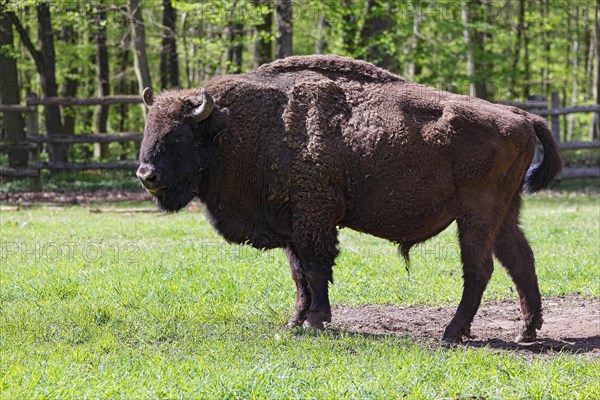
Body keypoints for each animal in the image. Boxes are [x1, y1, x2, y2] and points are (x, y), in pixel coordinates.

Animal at [137, 54, 564, 344]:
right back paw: (526, 332)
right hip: (505, 213)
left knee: (479, 269)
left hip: (476, 214)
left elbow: (315, 268)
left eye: (178, 134)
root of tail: (521, 116)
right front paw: (294, 322)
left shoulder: (314, 217)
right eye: (148, 128)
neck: (233, 127)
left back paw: (452, 333)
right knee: (520, 261)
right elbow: (299, 274)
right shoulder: (290, 223)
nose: (146, 175)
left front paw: (316, 321)